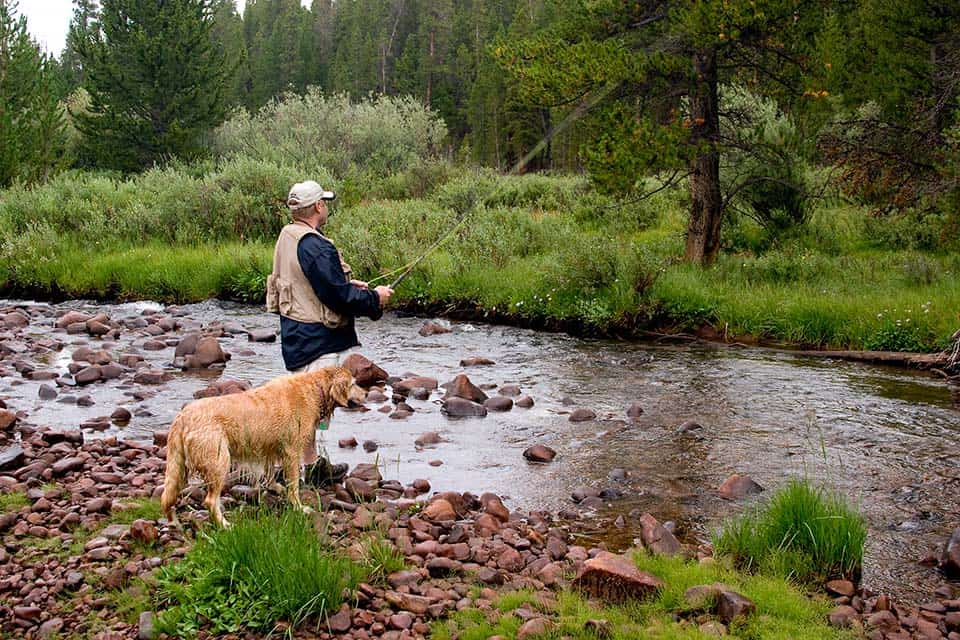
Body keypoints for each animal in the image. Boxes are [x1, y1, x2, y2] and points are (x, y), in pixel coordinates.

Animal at [161, 362, 364, 528]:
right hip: (218, 460)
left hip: (179, 465)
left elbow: (270, 471)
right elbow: (293, 485)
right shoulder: (292, 450)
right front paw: (299, 507)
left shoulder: (269, 447)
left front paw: (275, 487)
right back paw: (224, 524)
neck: (315, 388)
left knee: (167, 497)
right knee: (210, 500)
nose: (367, 393)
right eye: (353, 384)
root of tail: (182, 417)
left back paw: (174, 522)